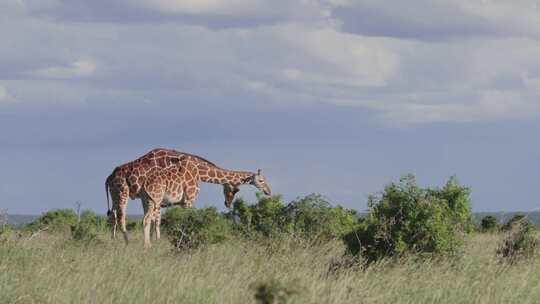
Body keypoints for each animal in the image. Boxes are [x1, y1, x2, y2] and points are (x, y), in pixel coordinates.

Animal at [105, 148, 272, 247]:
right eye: (234, 190)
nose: (268, 192)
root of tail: (109, 177)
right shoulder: (177, 200)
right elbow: (165, 220)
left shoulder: (161, 200)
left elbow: (157, 221)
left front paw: (156, 242)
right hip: (123, 192)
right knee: (122, 217)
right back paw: (128, 243)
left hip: (115, 195)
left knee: (113, 216)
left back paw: (113, 242)